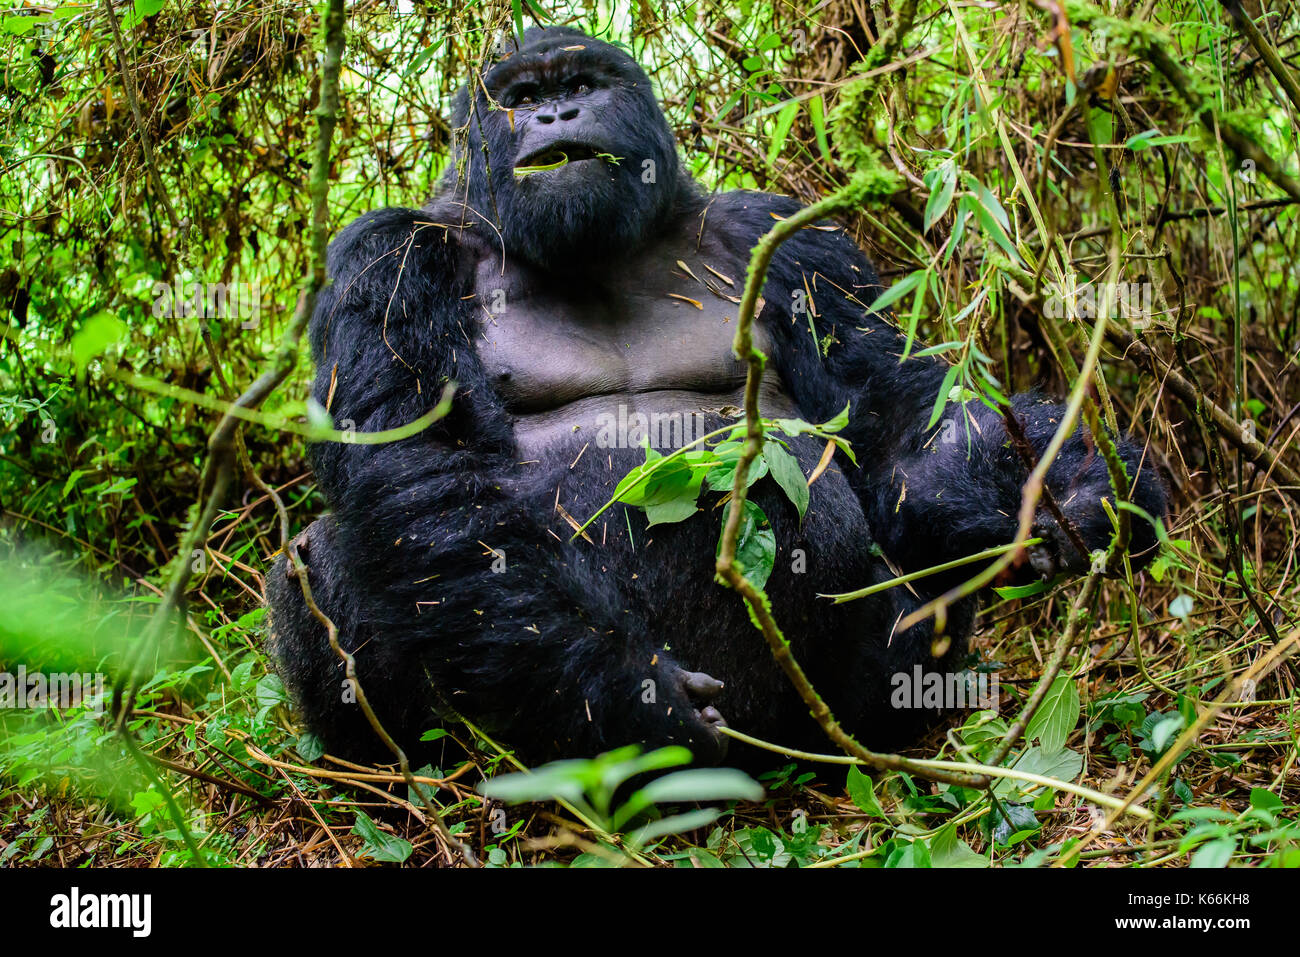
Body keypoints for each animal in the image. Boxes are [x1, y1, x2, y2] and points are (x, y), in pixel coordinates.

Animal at [266, 24, 1170, 769]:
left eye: (583, 83)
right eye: (518, 99)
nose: (557, 113)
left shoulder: (791, 237)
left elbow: (893, 422)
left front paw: (1079, 490)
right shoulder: (385, 255)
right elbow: (422, 470)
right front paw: (626, 697)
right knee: (332, 548)